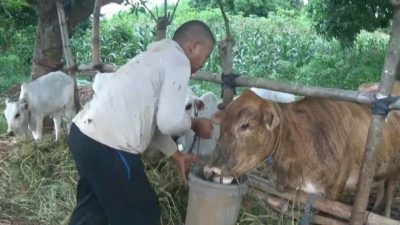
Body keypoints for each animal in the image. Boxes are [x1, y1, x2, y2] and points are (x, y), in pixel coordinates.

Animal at [206, 88, 400, 216]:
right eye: (222, 123)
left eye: (245, 125)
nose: (211, 170)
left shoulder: (334, 191)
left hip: (395, 172)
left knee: (390, 191)